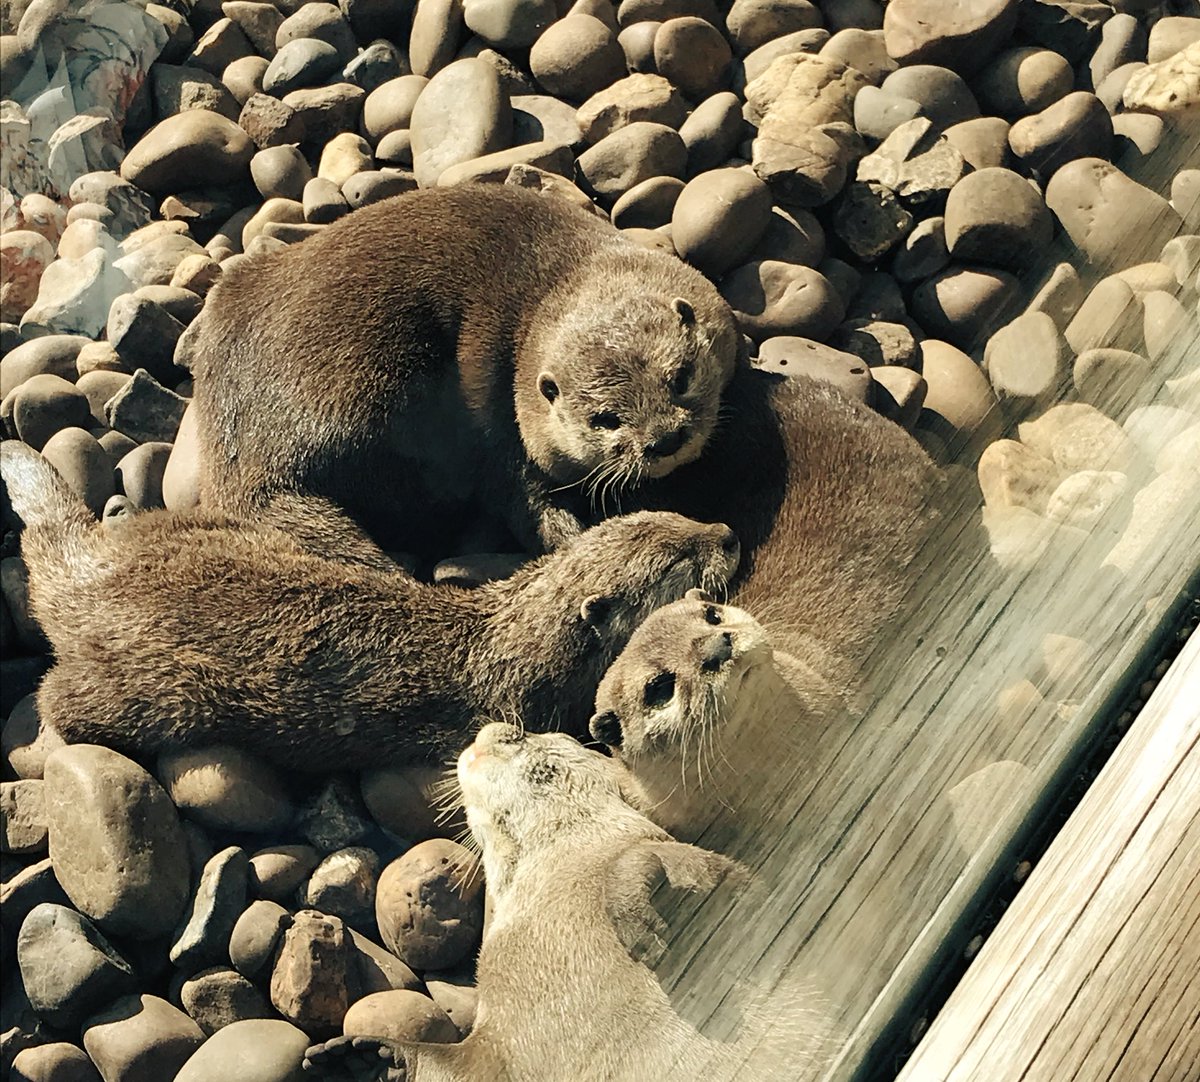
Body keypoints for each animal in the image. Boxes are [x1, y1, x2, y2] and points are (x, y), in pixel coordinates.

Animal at [0, 441, 739, 771]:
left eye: (678, 518)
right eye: (678, 560)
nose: (728, 535)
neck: (511, 649)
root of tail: (89, 578)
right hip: (161, 692)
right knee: (62, 697)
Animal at [187, 184, 743, 565]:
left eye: (681, 377)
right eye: (604, 419)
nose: (664, 439)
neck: (540, 290)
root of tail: (251, 469)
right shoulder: (497, 412)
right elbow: (514, 490)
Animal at [304, 723, 829, 1082]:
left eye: (544, 756)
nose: (508, 729)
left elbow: (704, 868)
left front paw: (639, 920)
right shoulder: (495, 1047)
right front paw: (374, 1060)